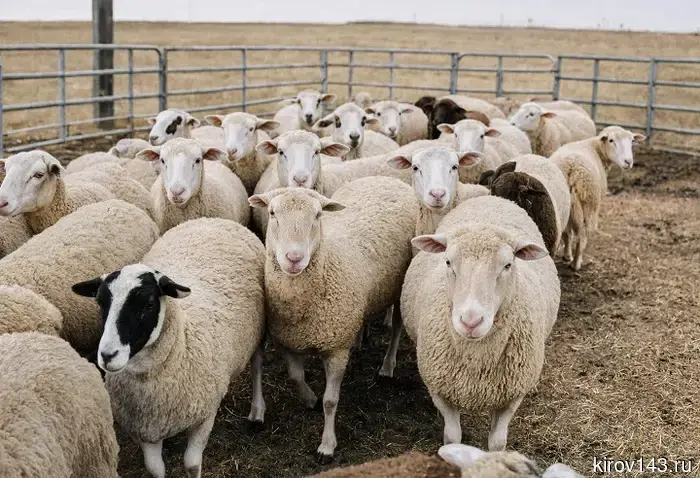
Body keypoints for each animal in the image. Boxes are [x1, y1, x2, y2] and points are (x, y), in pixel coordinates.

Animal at [72, 217, 265, 478]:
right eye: (101, 303)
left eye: (149, 304)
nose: (107, 355)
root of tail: (211, 220)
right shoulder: (144, 429)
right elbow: (155, 469)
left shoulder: (204, 416)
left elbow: (191, 464)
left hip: (258, 329)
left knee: (257, 366)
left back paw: (257, 412)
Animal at [248, 176, 418, 462]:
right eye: (272, 213)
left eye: (318, 215)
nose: (294, 258)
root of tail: (385, 178)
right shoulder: (289, 342)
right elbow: (295, 376)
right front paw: (310, 400)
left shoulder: (337, 349)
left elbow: (331, 401)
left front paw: (327, 445)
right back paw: (360, 340)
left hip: (401, 283)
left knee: (396, 327)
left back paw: (387, 366)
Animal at [401, 194, 559, 451]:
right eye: (447, 262)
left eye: (507, 265)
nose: (471, 321)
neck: (477, 360)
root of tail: (492, 197)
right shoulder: (441, 391)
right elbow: (452, 437)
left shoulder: (511, 396)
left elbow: (497, 443)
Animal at [551, 126, 645, 270]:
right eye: (611, 140)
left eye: (632, 140)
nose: (628, 162)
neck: (596, 148)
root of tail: (572, 170)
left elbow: (567, 234)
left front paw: (566, 255)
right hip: (589, 204)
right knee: (582, 236)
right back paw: (576, 263)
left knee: (565, 232)